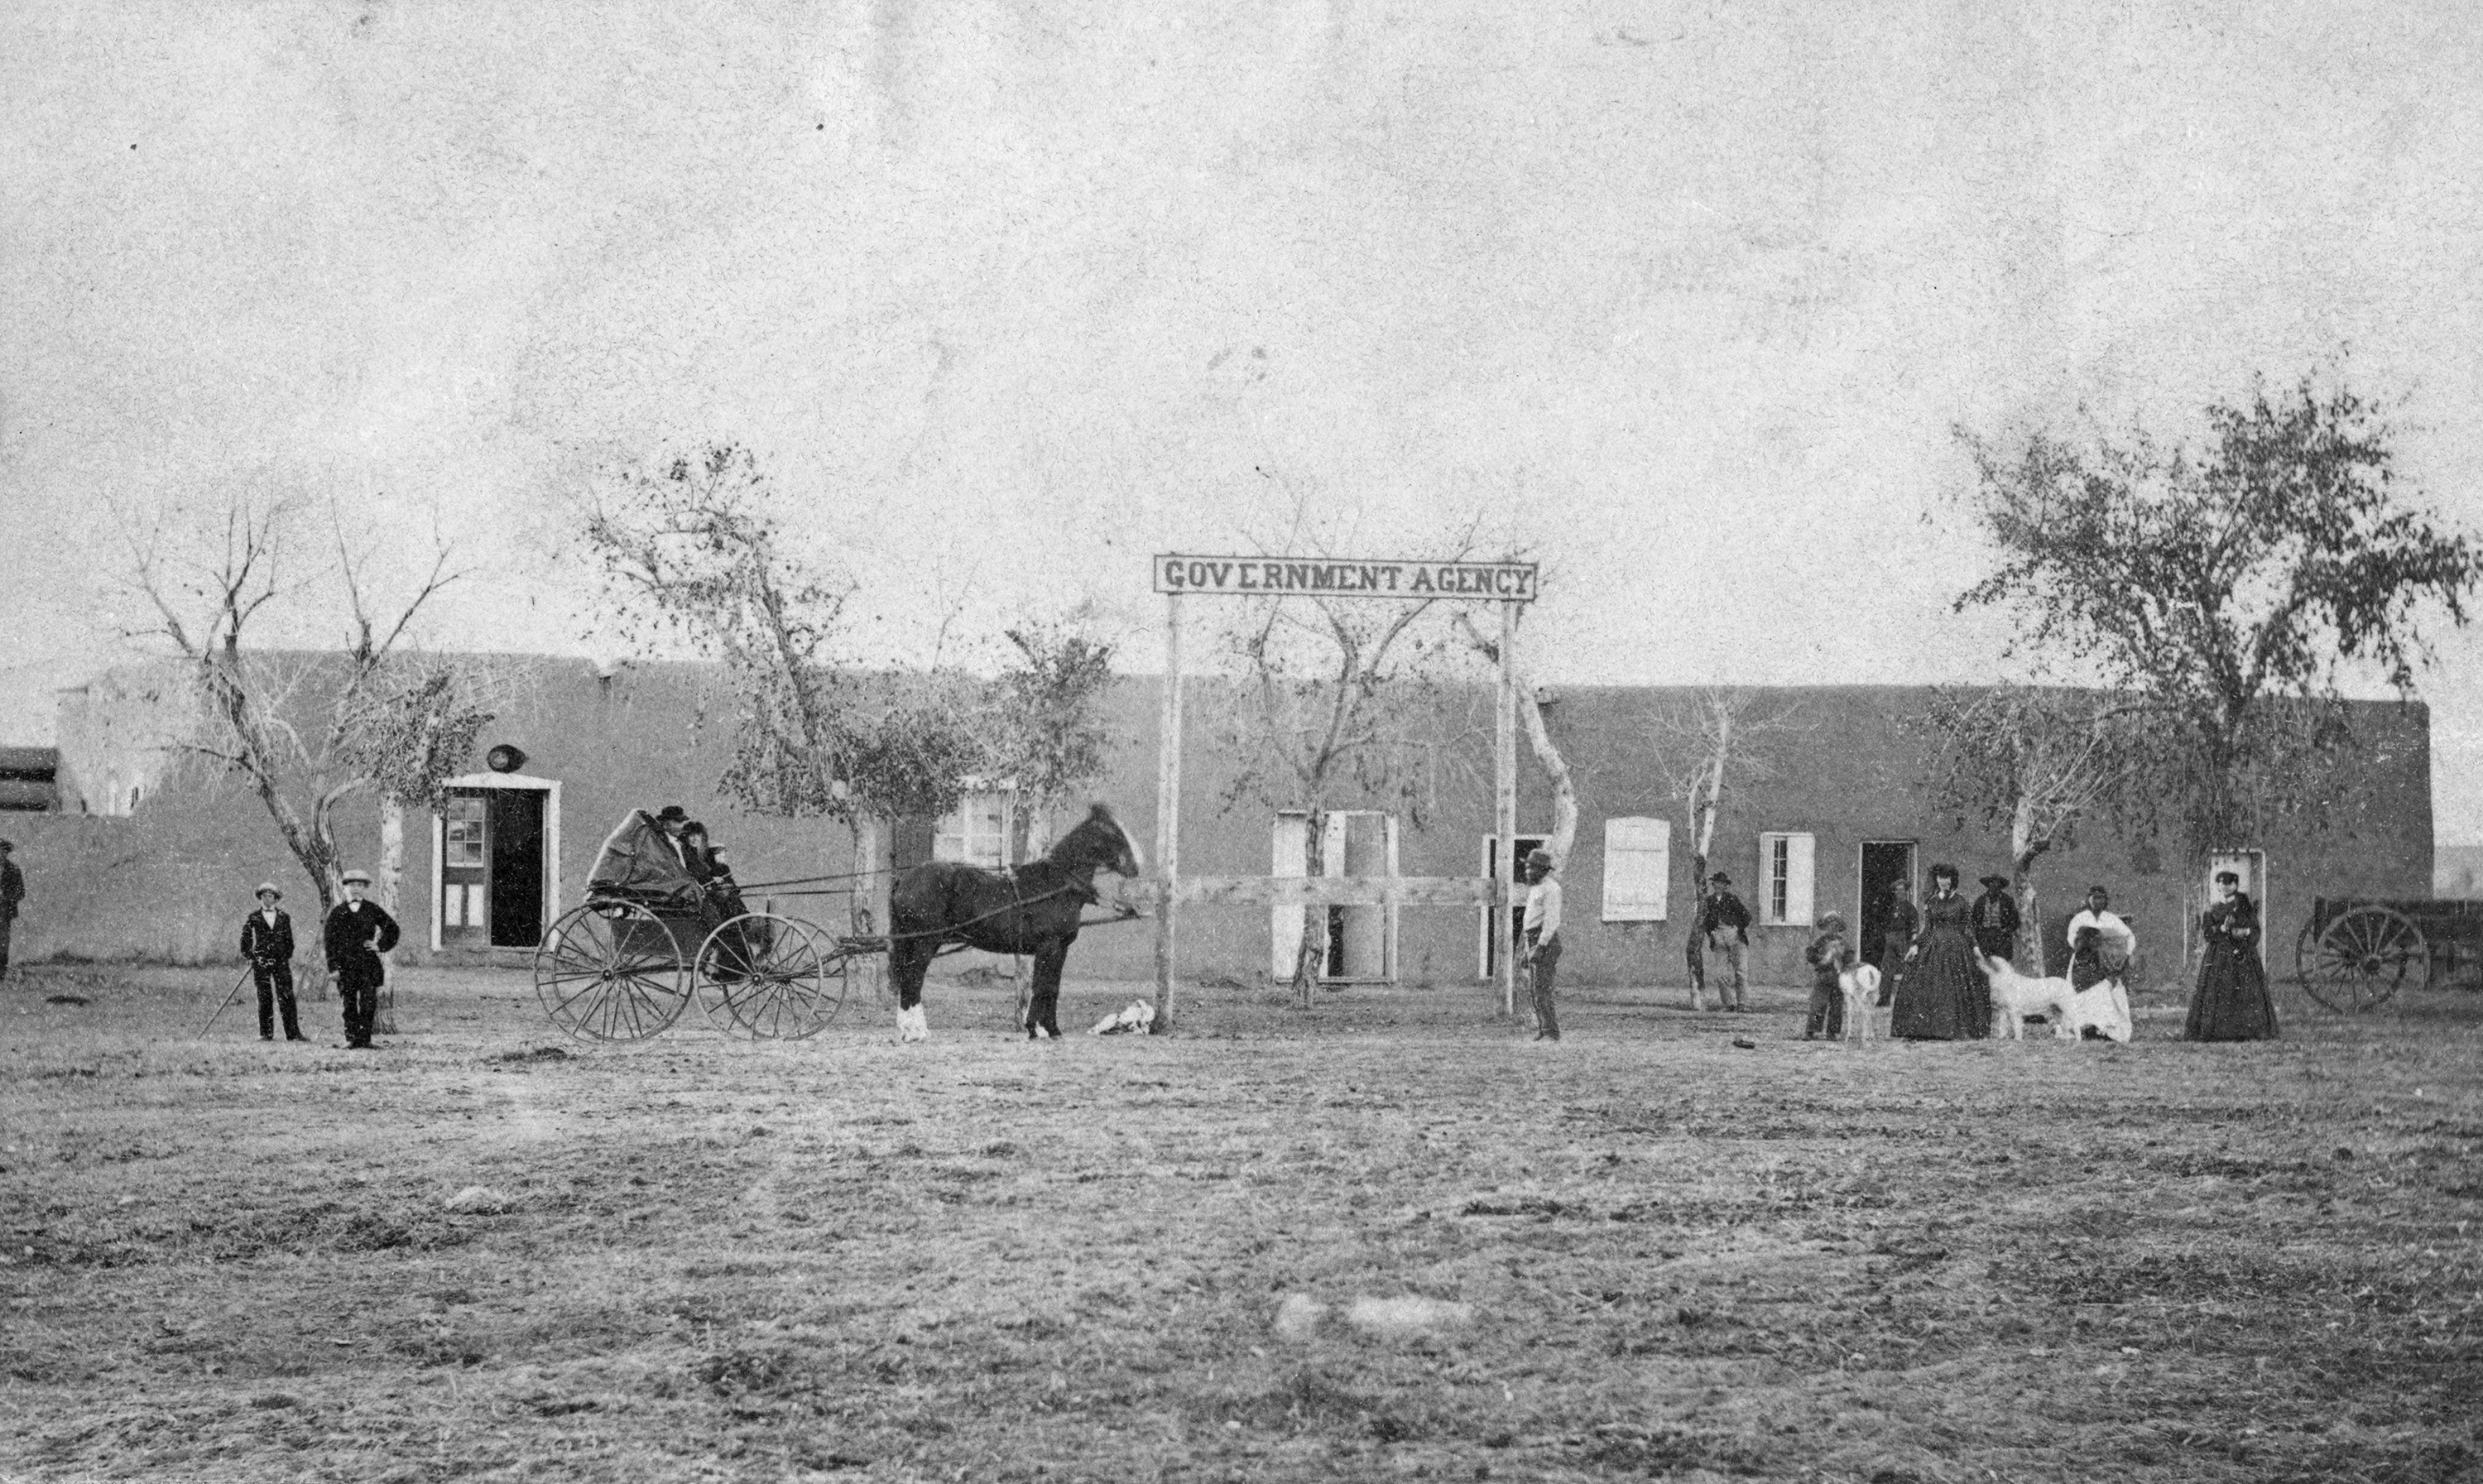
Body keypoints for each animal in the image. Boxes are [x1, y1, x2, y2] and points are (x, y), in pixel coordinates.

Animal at [894, 804, 1142, 1047]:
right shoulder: (1049, 947)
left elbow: (1052, 988)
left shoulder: (1060, 949)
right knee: (913, 979)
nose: (1136, 867)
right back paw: (916, 1032)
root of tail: (905, 878)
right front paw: (1038, 1029)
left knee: (909, 981)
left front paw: (1048, 1030)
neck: (1056, 885)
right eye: (1113, 832)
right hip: (924, 943)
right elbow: (1042, 988)